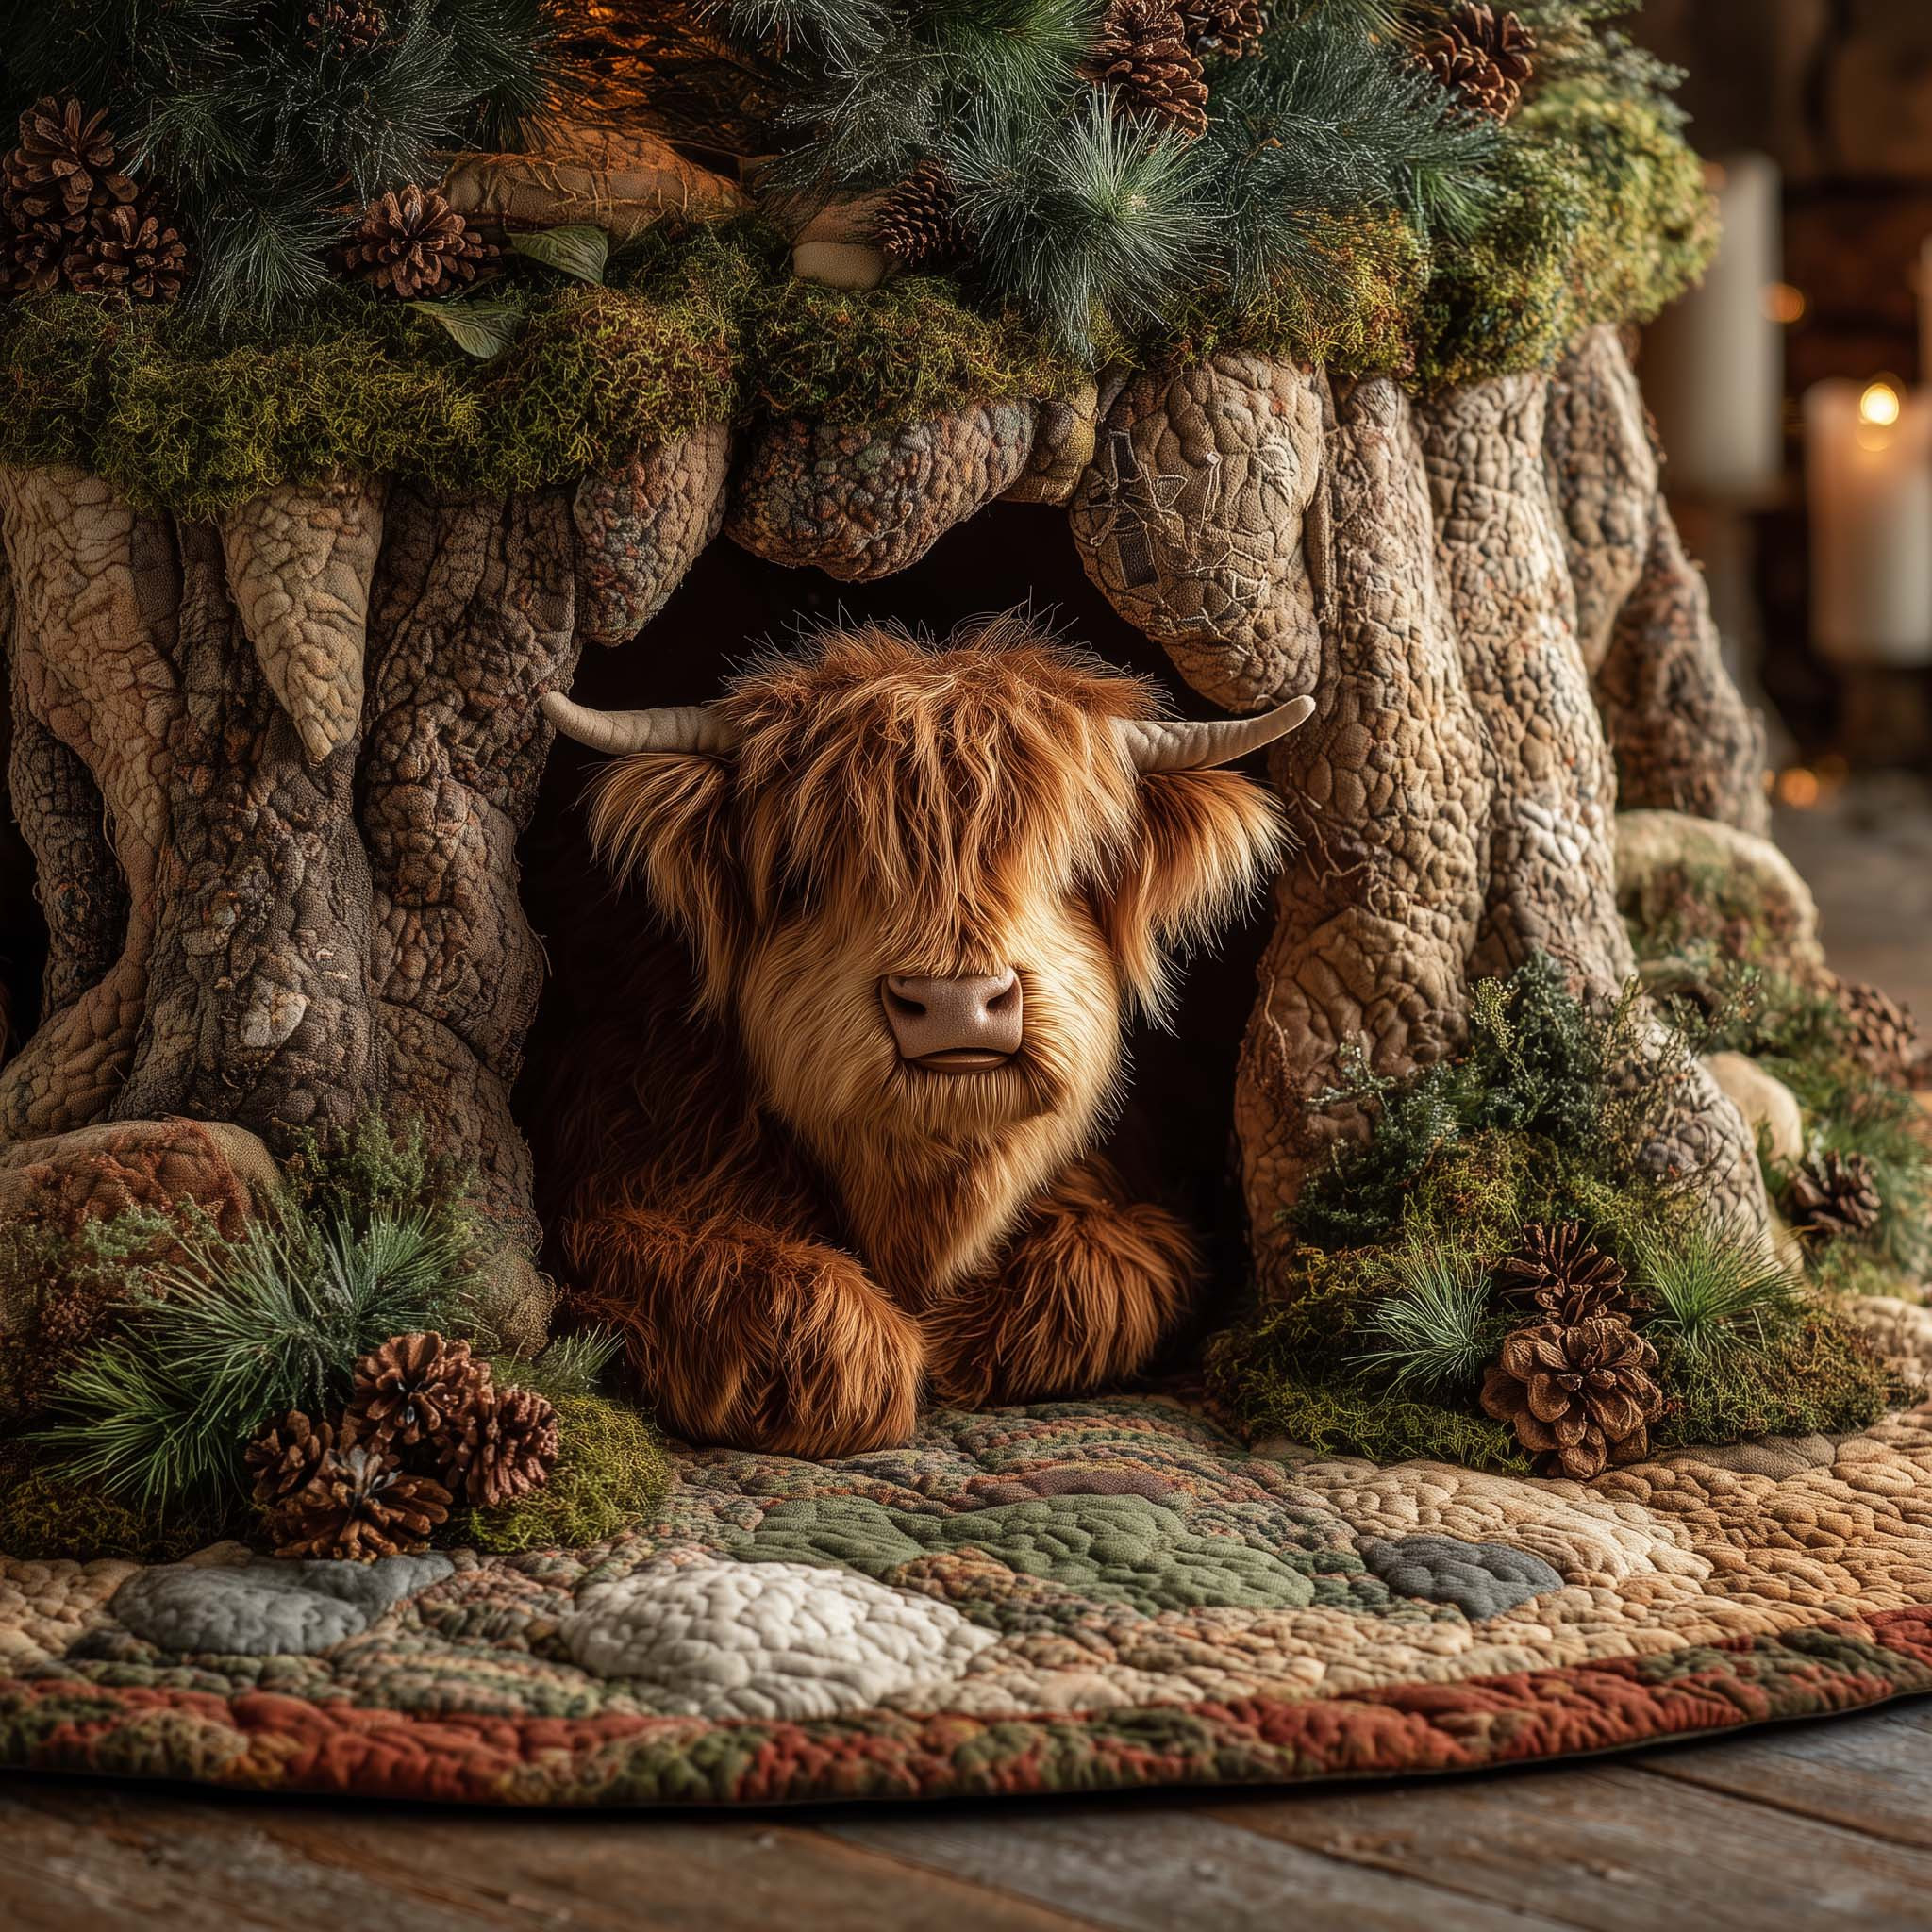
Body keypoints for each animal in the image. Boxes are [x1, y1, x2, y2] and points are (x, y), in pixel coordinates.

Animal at [541, 614, 1311, 1458]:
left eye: (1074, 860)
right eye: (804, 874)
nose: (956, 1002)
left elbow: (1112, 1268)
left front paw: (963, 1338)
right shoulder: (619, 1193)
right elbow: (753, 1288)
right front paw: (868, 1365)